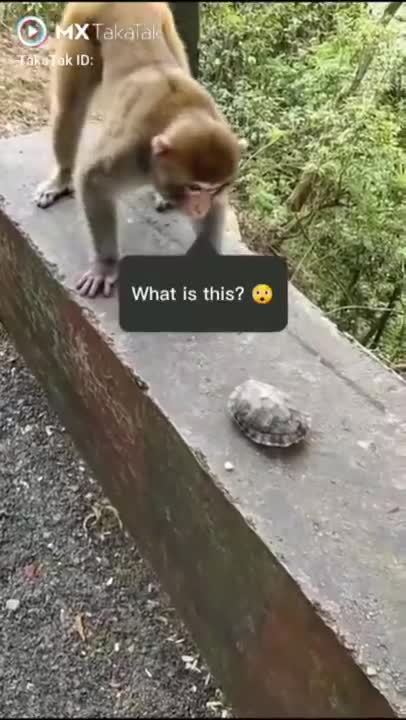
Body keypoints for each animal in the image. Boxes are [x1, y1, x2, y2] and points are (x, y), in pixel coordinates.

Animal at [35, 2, 244, 298]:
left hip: (167, 23)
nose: (199, 207)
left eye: (213, 189)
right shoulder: (130, 154)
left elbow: (217, 208)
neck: (180, 114)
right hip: (79, 23)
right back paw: (62, 177)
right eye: (194, 188)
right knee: (69, 110)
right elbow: (92, 180)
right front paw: (106, 265)